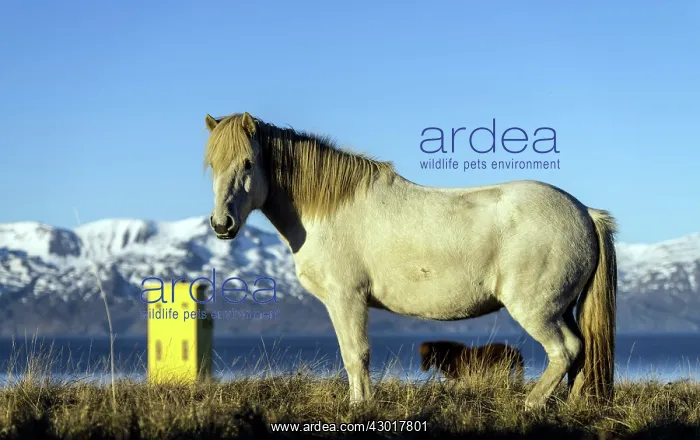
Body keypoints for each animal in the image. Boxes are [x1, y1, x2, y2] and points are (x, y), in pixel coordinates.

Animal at [202, 111, 617, 410]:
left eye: (248, 163)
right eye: (212, 166)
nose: (222, 225)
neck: (328, 211)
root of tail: (584, 212)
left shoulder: (346, 298)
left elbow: (356, 354)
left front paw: (361, 407)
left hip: (537, 310)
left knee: (566, 351)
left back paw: (531, 404)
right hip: (562, 309)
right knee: (582, 353)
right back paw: (573, 405)